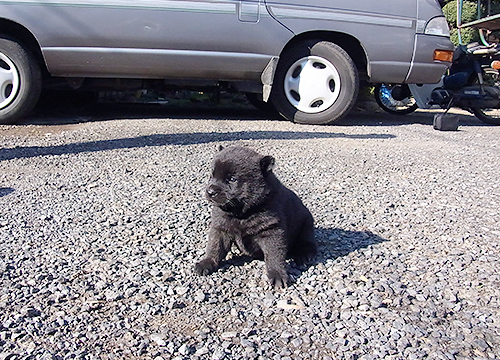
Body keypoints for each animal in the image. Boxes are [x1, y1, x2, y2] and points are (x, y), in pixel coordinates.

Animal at [193, 145, 314, 288]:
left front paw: (278, 274)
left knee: (307, 241)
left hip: (307, 223)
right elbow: (214, 247)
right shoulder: (220, 228)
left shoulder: (272, 231)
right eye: (212, 175)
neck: (242, 213)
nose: (210, 191)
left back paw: (305, 254)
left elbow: (274, 255)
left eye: (232, 179)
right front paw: (206, 262)